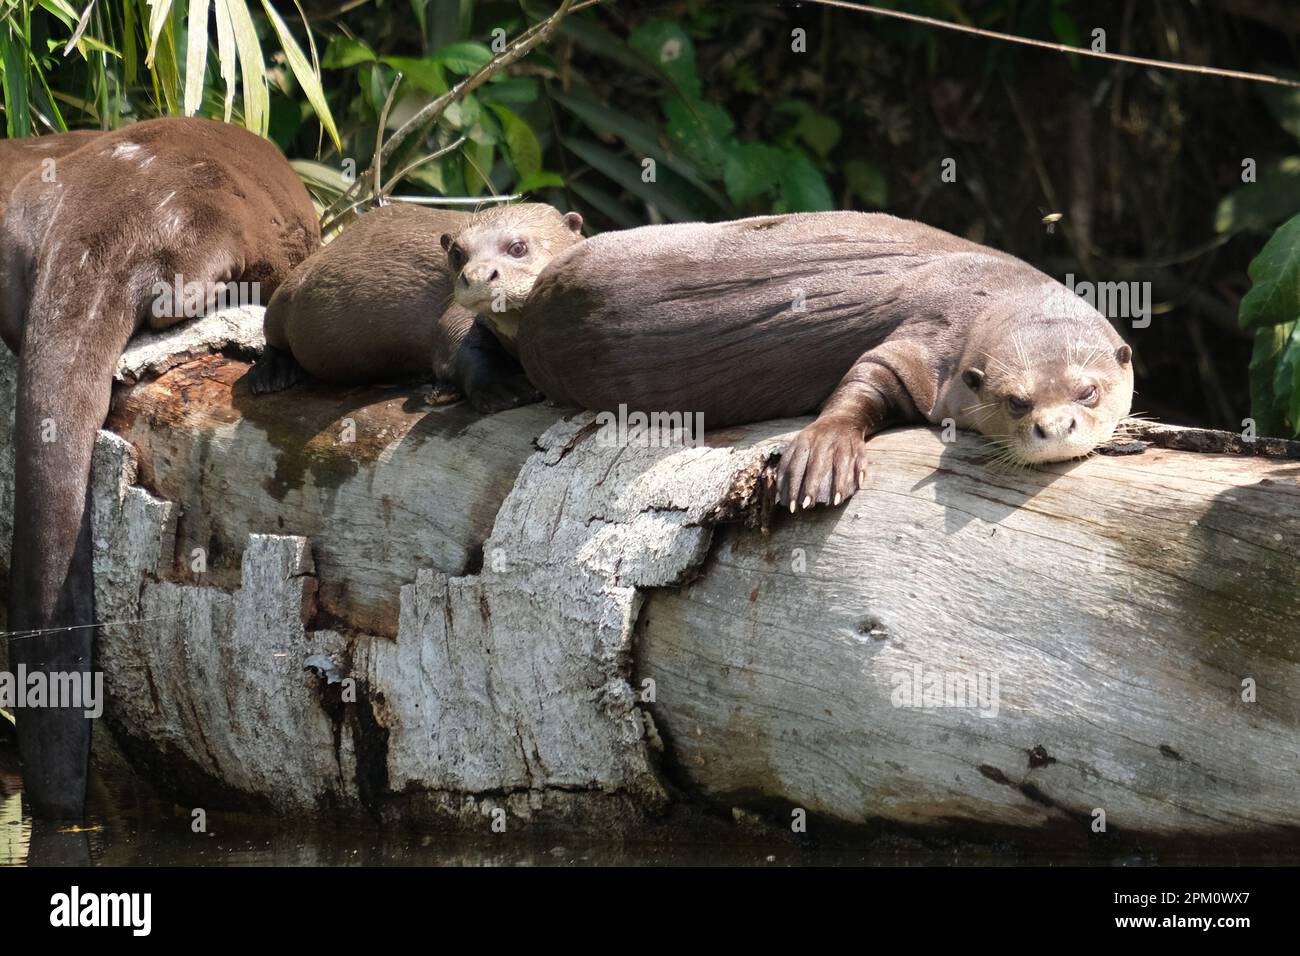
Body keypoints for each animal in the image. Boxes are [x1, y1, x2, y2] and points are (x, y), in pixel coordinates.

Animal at [249, 202, 583, 413]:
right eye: (457, 253)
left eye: (517, 247)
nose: (476, 276)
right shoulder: (460, 317)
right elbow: (454, 347)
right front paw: (505, 388)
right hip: (288, 289)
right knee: (273, 334)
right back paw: (271, 374)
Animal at [452, 211, 1132, 510]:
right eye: (1015, 401)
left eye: (1087, 391)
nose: (1052, 427)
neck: (990, 291)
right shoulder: (928, 338)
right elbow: (864, 379)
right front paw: (823, 456)